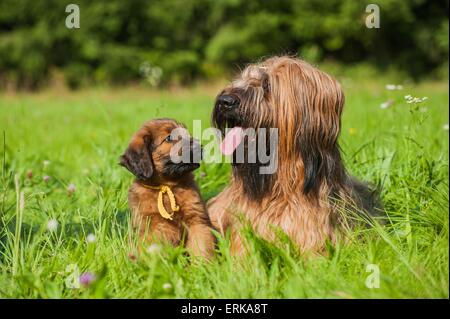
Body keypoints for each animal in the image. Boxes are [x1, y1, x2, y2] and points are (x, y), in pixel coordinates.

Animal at [120, 119, 215, 258]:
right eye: (169, 138)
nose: (199, 147)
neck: (167, 185)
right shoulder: (150, 226)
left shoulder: (197, 220)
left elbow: (201, 247)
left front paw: (203, 264)